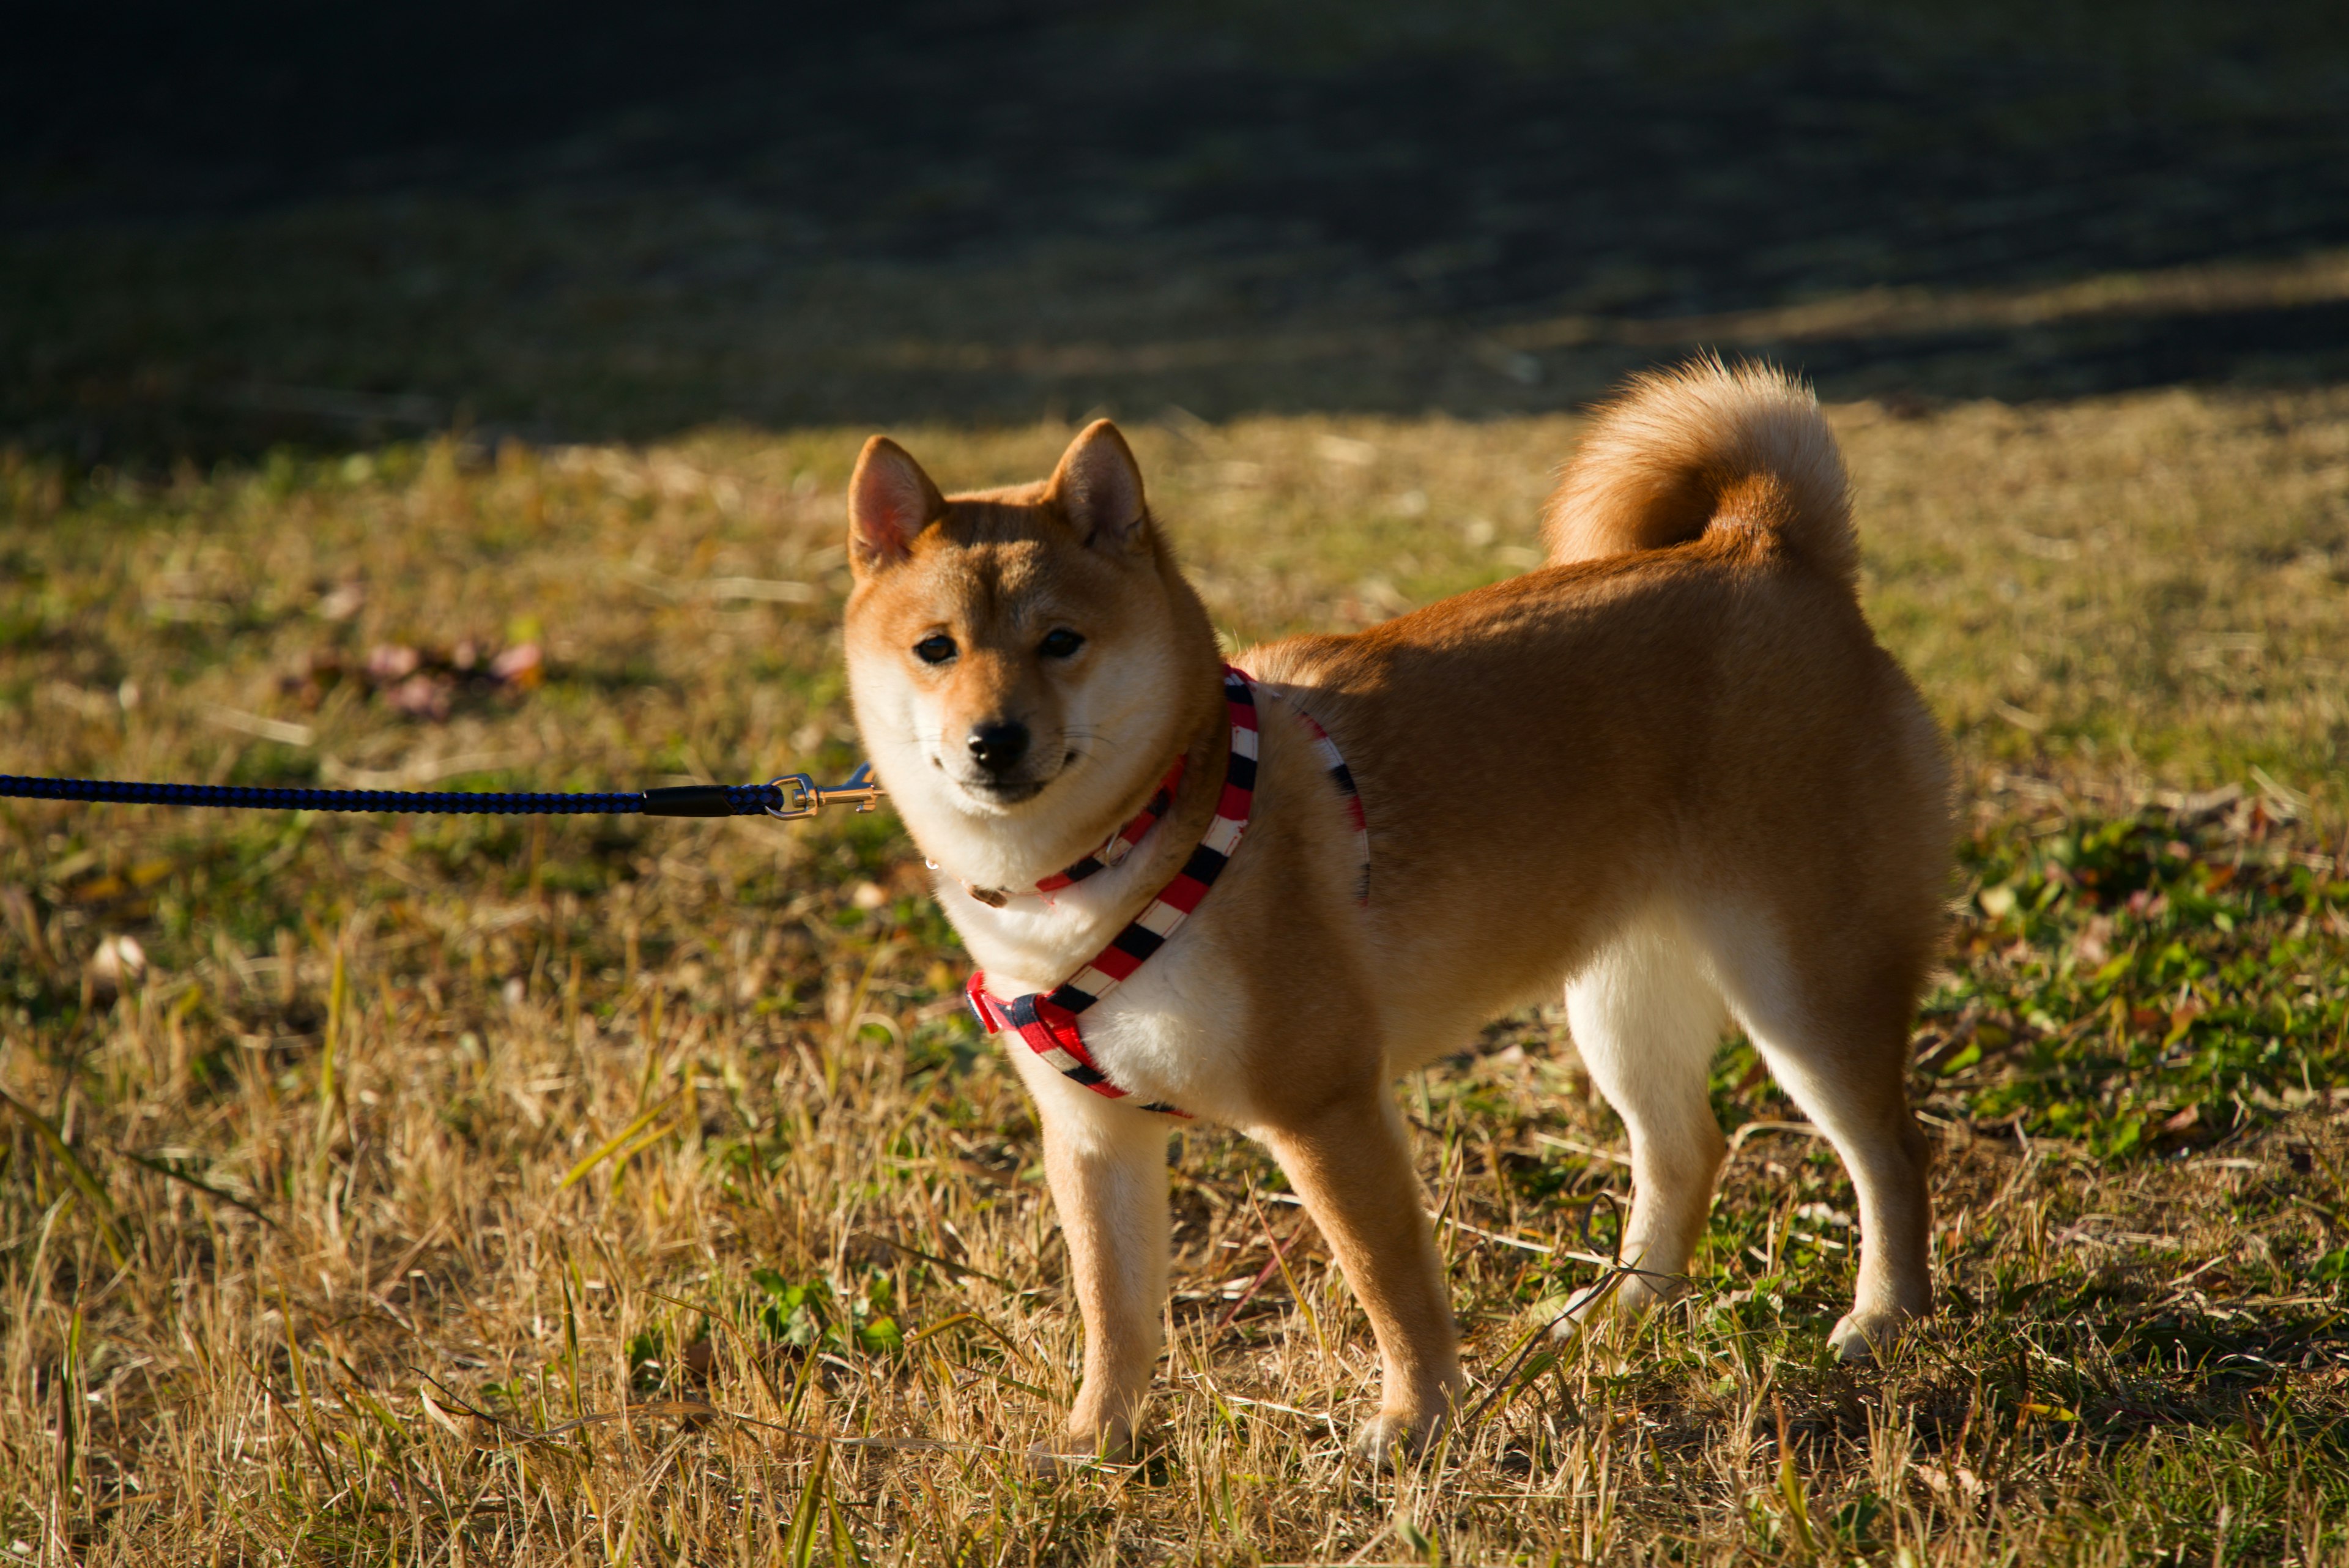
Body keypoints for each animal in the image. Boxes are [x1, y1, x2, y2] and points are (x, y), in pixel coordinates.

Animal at [841, 362, 1945, 1466]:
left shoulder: (1324, 1107)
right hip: (1622, 1004)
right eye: (936, 648)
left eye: (1060, 641)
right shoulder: (1094, 1137)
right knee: (1685, 1153)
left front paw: (1416, 1420)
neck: (1109, 853)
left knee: (1890, 1148)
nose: (993, 739)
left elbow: (1391, 1287)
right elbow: (1112, 1309)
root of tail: (1764, 545)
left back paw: (1885, 1315)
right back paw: (1614, 1313)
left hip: (1802, 987)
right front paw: (1096, 1439)